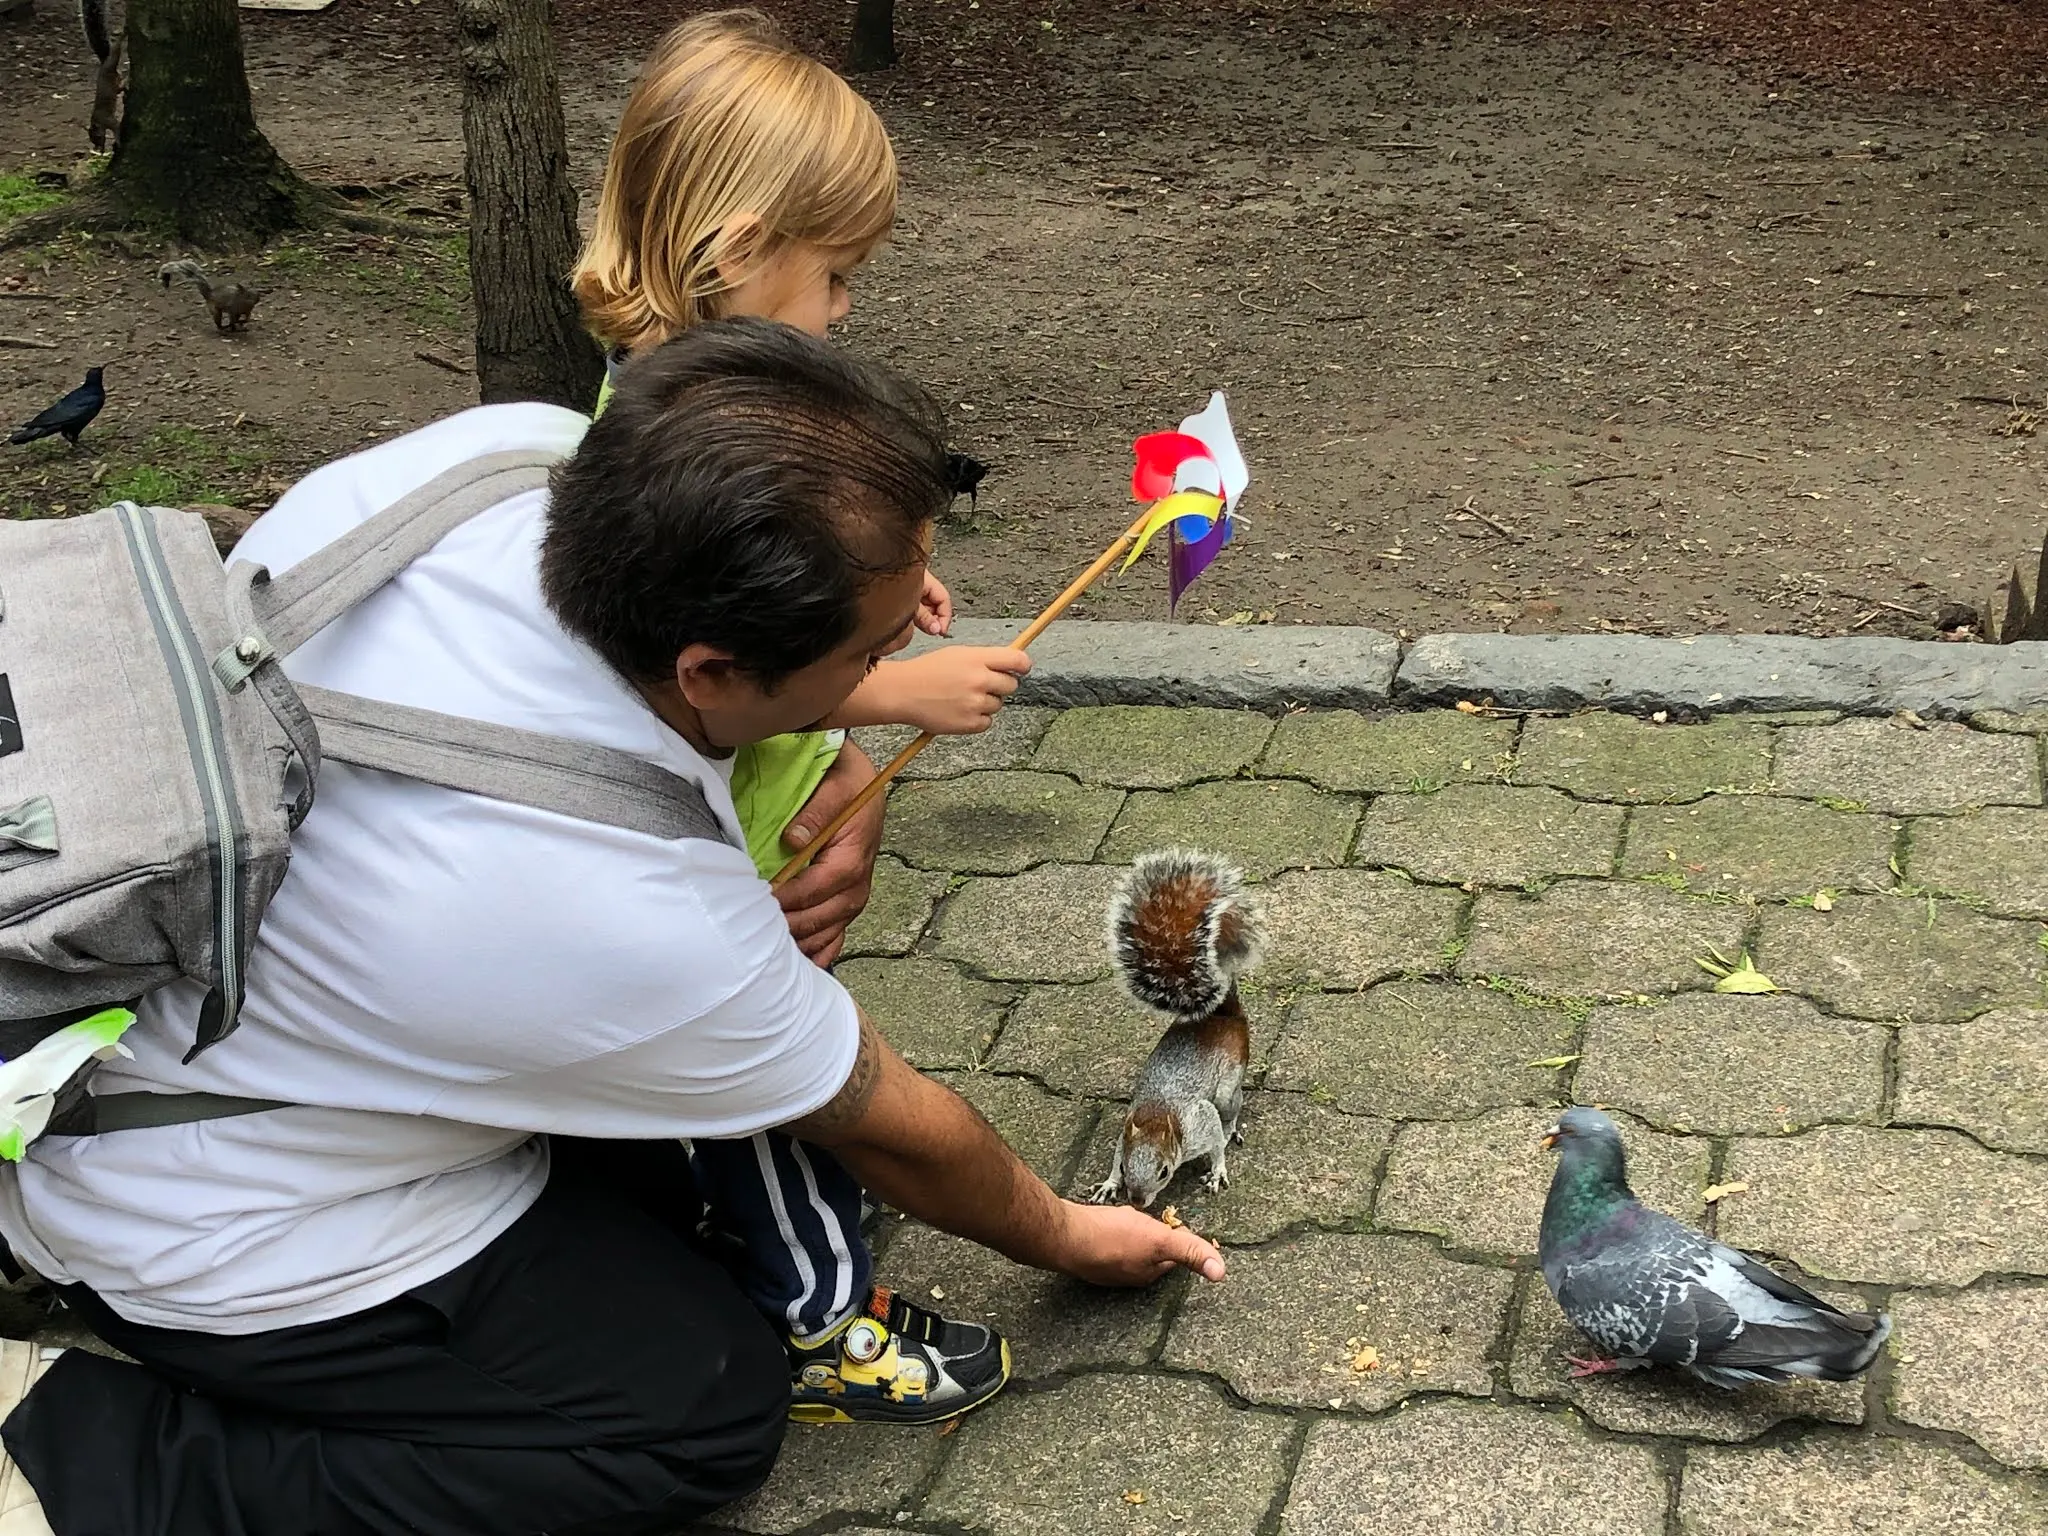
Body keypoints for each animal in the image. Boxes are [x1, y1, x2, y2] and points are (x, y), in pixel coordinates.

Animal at [81, 0, 124, 153]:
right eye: (92, 139)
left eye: (97, 137)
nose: (99, 150)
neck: (97, 121)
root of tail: (104, 63)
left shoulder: (107, 119)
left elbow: (117, 127)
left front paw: (119, 141)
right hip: (114, 80)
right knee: (119, 84)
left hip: (112, 62)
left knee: (116, 50)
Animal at [1086, 848, 1265, 1210]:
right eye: (1125, 1168)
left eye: (1165, 1171)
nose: (1137, 1201)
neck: (1158, 1113)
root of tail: (1225, 1016)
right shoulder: (1127, 1131)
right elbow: (1116, 1151)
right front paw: (1109, 1183)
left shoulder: (1201, 1122)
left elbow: (1215, 1143)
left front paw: (1218, 1170)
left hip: (1228, 1086)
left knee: (1231, 1108)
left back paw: (1231, 1128)